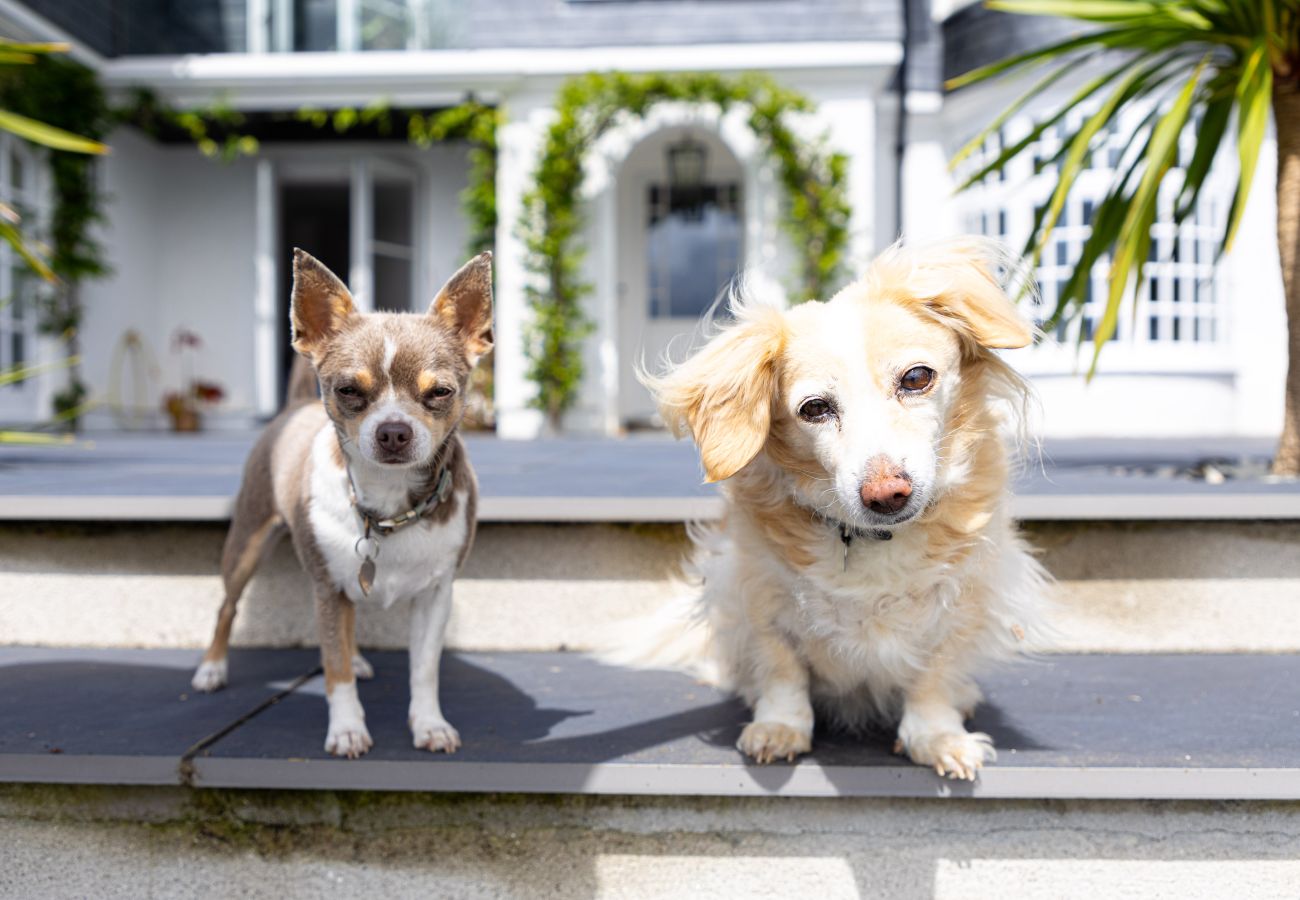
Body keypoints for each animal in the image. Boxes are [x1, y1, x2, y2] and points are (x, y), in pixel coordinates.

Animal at [626, 239, 1045, 780]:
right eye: (814, 409)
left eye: (916, 378)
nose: (887, 494)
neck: (874, 541)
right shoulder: (755, 588)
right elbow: (781, 666)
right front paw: (779, 727)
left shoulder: (965, 598)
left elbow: (935, 673)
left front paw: (937, 736)